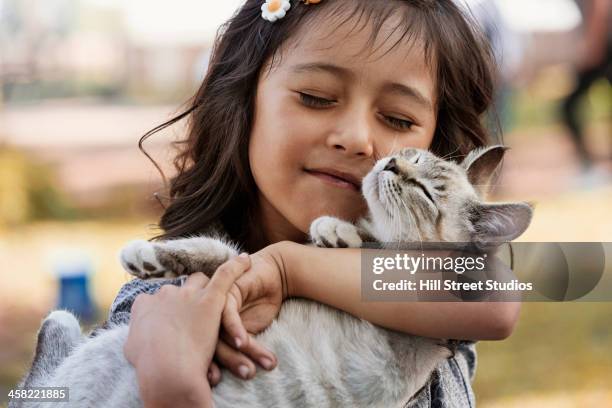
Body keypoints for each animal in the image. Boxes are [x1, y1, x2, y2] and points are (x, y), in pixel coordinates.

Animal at [11, 145, 532, 406]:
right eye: (413, 155)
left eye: (423, 190)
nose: (389, 163)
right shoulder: (243, 262)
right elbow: (219, 250)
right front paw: (149, 255)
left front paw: (337, 233)